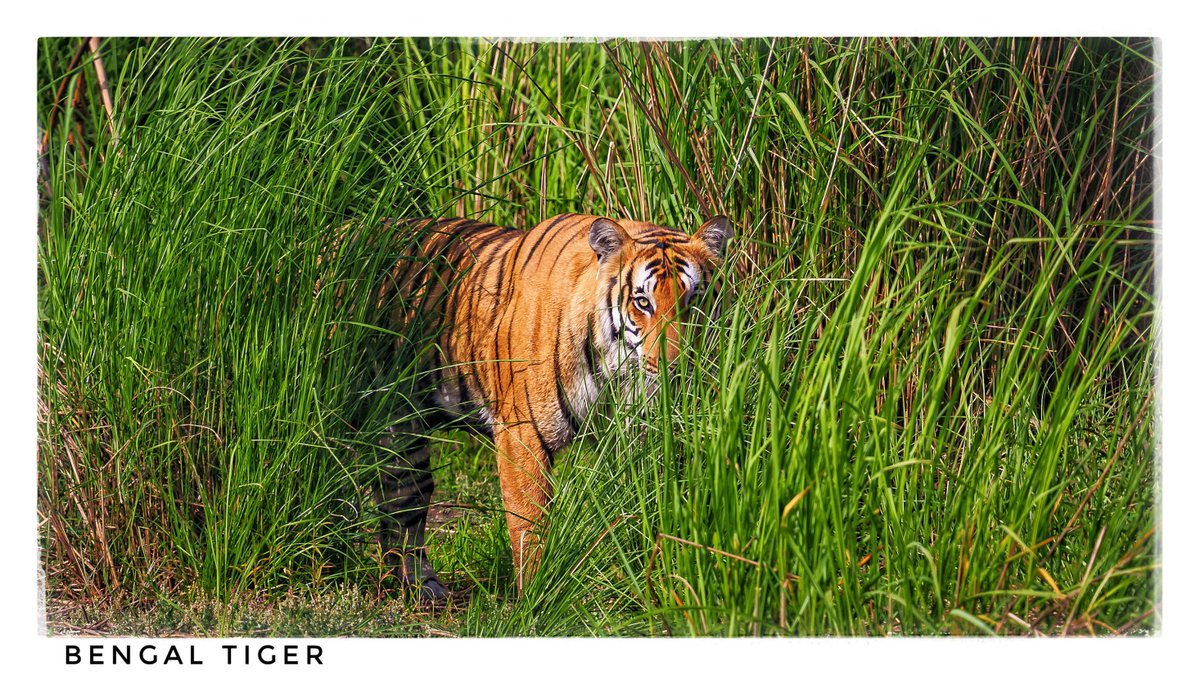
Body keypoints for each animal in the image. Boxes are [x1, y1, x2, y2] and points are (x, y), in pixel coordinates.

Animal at [362, 213, 733, 601]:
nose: (676, 366)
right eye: (643, 302)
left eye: (694, 300)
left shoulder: (637, 435)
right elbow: (530, 521)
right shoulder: (522, 431)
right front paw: (536, 595)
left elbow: (645, 506)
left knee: (401, 504)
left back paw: (419, 587)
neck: (613, 369)